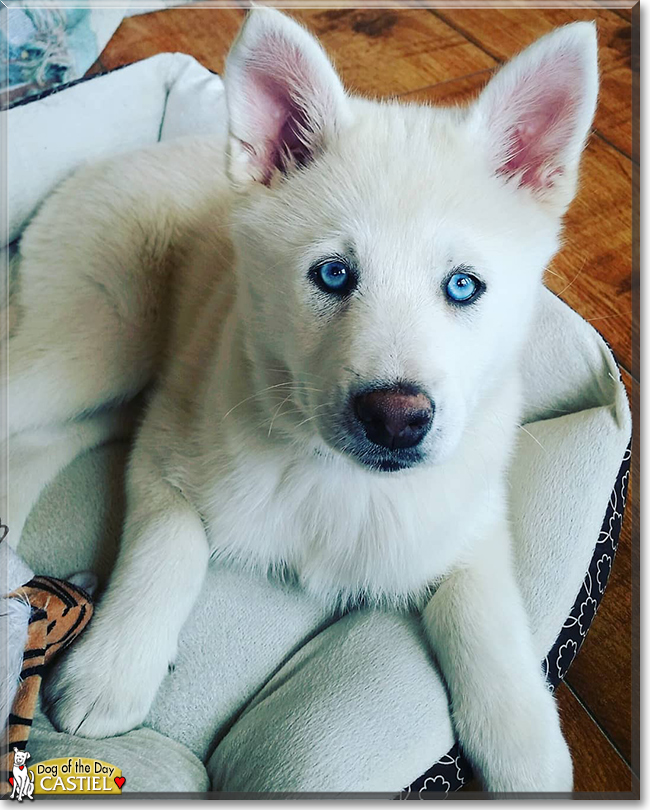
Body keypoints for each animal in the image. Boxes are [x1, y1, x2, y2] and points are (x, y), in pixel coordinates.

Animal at [8, 9, 596, 792]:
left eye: (464, 285)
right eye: (334, 274)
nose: (397, 421)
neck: (339, 483)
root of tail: (108, 162)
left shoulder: (468, 519)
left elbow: (489, 621)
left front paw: (528, 750)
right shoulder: (167, 442)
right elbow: (169, 546)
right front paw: (113, 671)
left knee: (41, 439)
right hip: (101, 341)